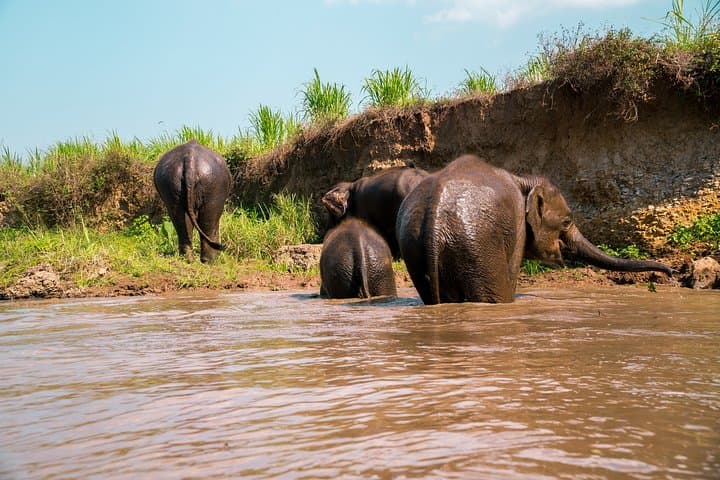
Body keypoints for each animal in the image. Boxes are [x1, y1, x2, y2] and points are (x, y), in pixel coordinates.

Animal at [396, 154, 675, 304]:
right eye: (567, 222)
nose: (671, 273)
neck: (522, 178)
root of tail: (434, 219)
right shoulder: (516, 226)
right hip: (476, 247)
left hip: (415, 248)